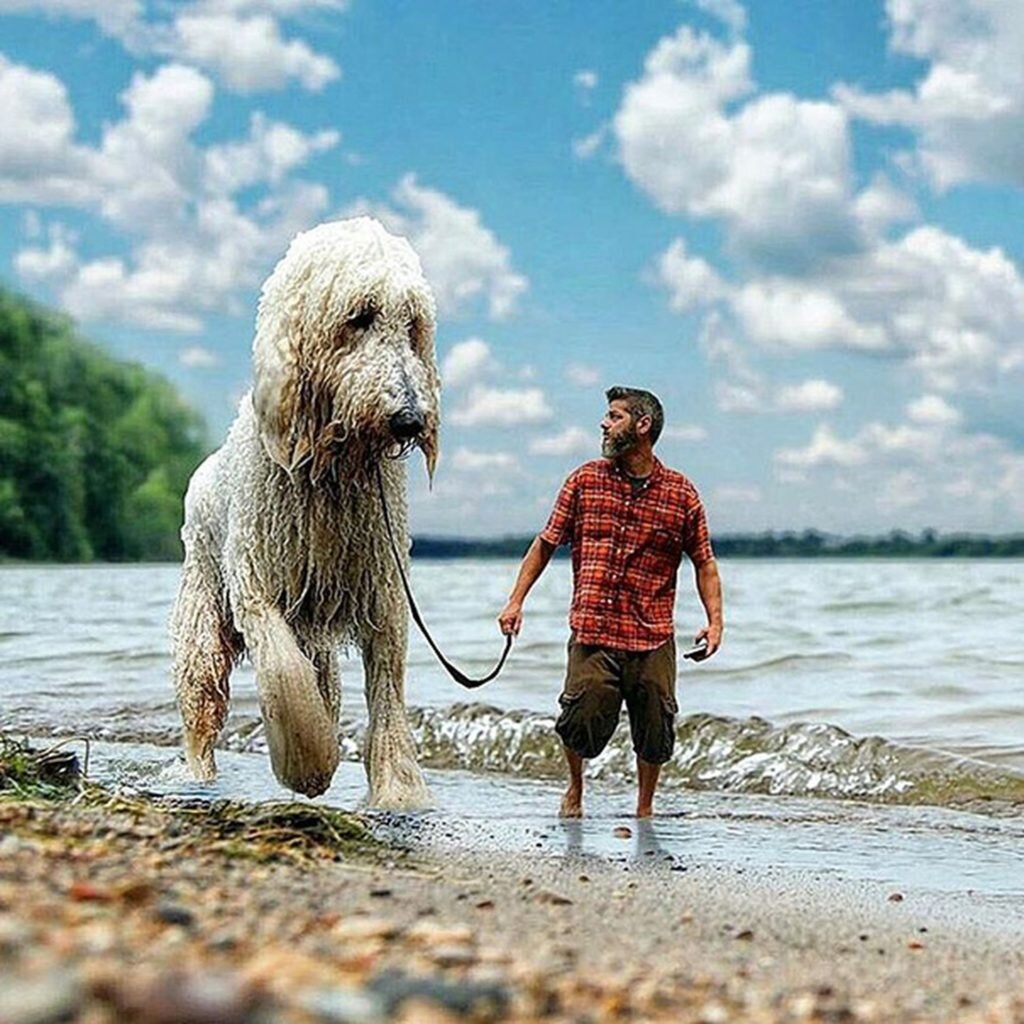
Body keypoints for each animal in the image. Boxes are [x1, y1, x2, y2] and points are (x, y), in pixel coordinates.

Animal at [168, 218, 440, 806]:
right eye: (360, 316)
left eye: (412, 324)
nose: (410, 419)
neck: (330, 467)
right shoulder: (257, 584)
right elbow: (285, 679)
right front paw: (309, 768)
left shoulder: (382, 587)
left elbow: (387, 690)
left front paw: (398, 793)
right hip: (203, 605)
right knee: (201, 699)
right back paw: (198, 776)